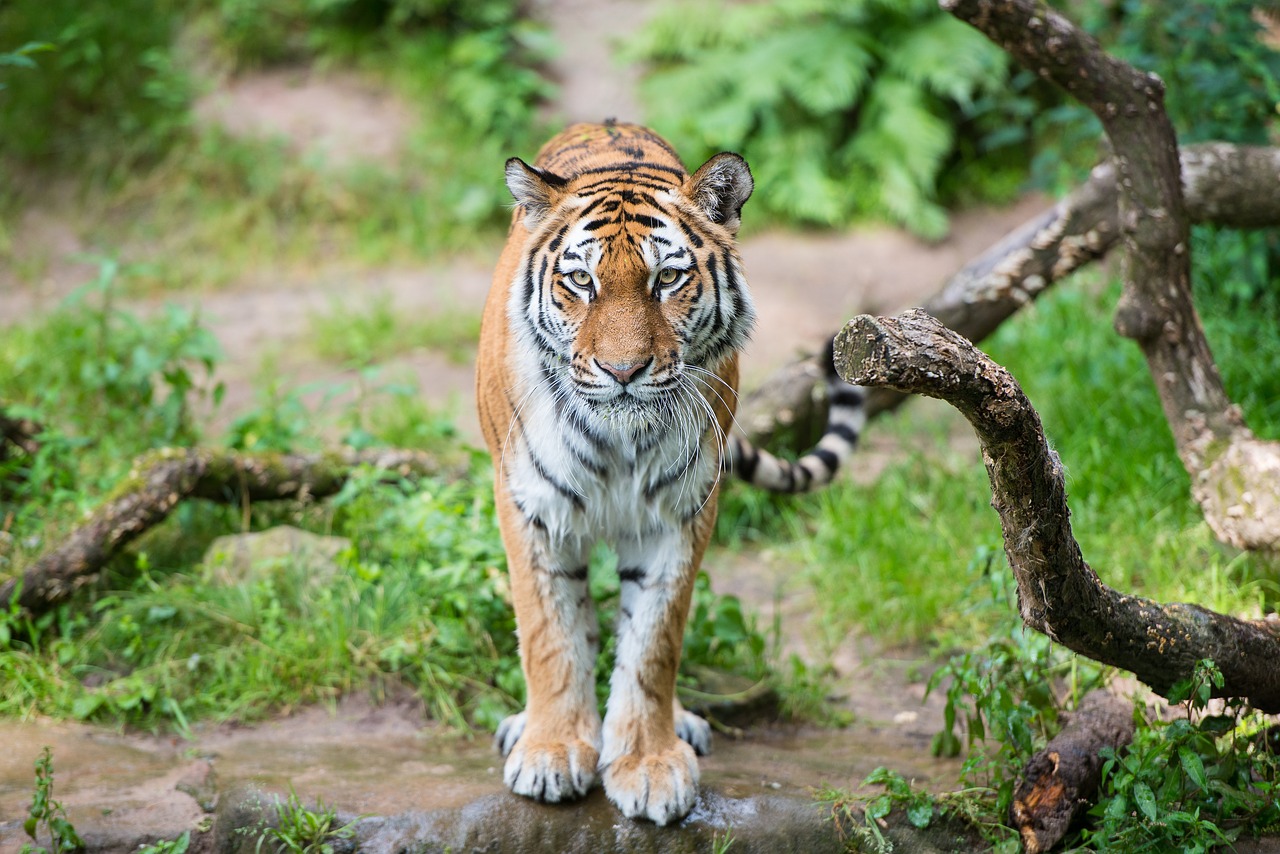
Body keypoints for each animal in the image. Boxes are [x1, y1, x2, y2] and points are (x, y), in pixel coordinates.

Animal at [476, 120, 865, 819]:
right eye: (581, 281)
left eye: (668, 279)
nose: (623, 371)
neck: (616, 441)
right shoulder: (531, 506)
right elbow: (549, 633)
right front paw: (551, 752)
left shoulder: (681, 512)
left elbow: (655, 643)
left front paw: (649, 764)